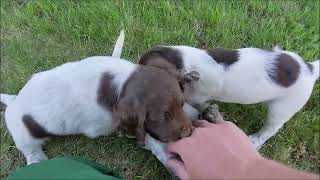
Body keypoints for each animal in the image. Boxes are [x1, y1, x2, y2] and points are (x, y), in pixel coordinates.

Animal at [139, 45, 318, 149]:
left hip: (281, 108)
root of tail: (311, 69)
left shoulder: (198, 98)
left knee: (271, 128)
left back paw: (255, 140)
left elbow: (201, 106)